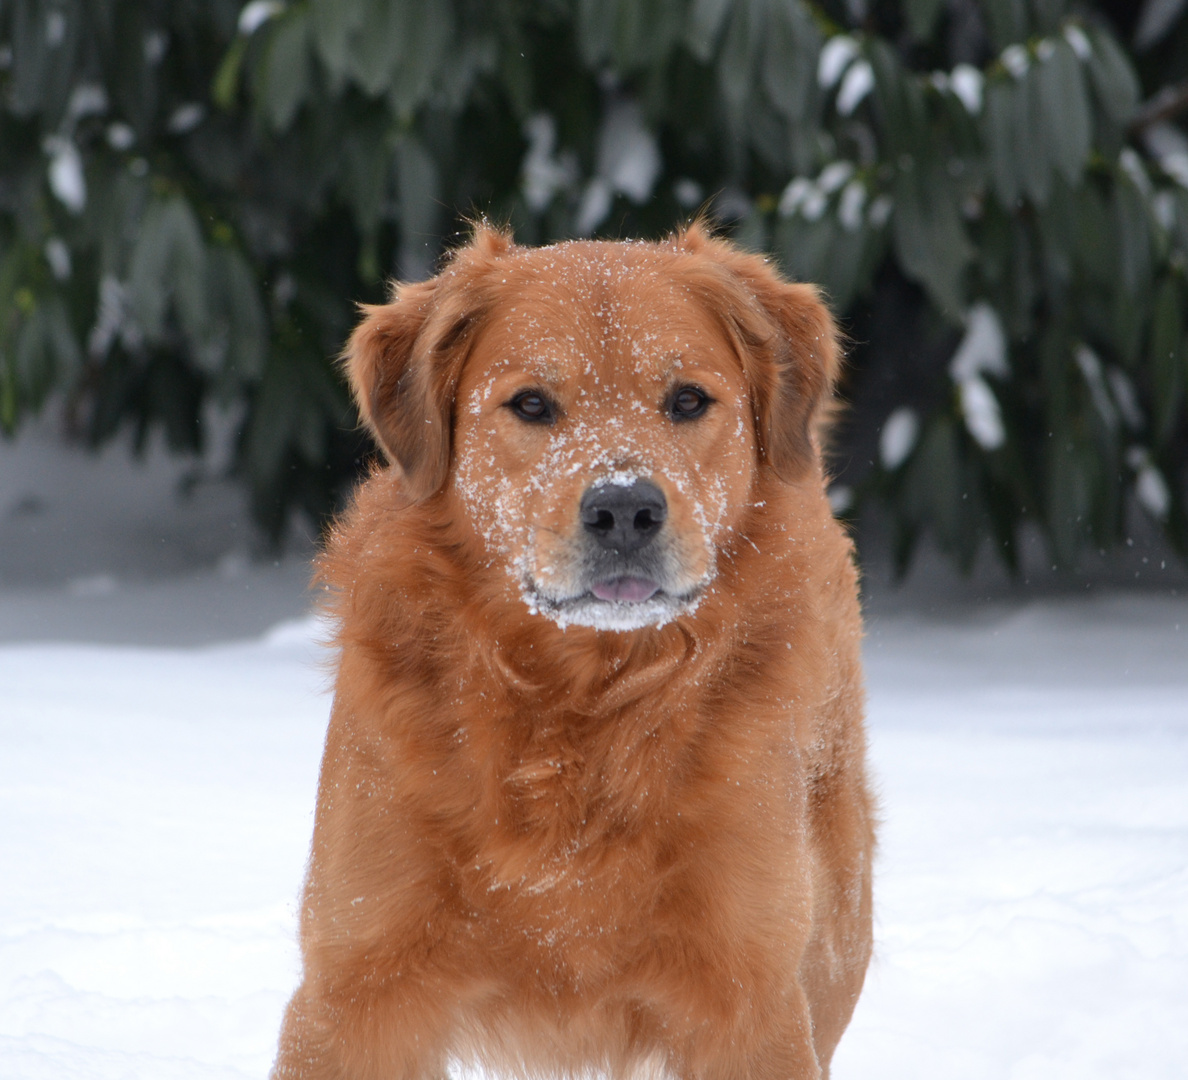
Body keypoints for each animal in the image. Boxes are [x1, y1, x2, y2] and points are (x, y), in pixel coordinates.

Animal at [275, 220, 874, 1078]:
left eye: (687, 400)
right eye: (532, 403)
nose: (624, 508)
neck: (579, 708)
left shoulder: (752, 1000)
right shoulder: (353, 990)